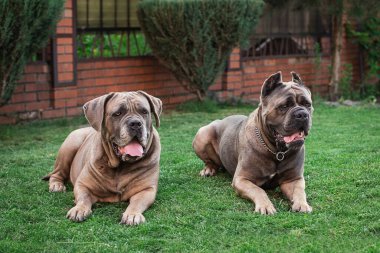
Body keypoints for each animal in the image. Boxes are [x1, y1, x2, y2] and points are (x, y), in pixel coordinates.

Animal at [43, 91, 162, 225]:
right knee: (57, 173)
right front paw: (79, 209)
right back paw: (56, 185)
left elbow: (137, 202)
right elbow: (83, 198)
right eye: (118, 113)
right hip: (70, 144)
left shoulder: (147, 190)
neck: (120, 166)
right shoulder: (82, 184)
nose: (136, 123)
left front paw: (132, 214)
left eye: (144, 112)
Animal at [194, 72, 314, 214]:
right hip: (202, 134)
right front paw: (265, 206)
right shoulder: (241, 179)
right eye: (284, 106)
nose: (302, 114)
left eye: (307, 104)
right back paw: (208, 169)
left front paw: (302, 204)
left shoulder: (293, 179)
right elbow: (258, 190)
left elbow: (299, 191)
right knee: (210, 161)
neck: (276, 151)